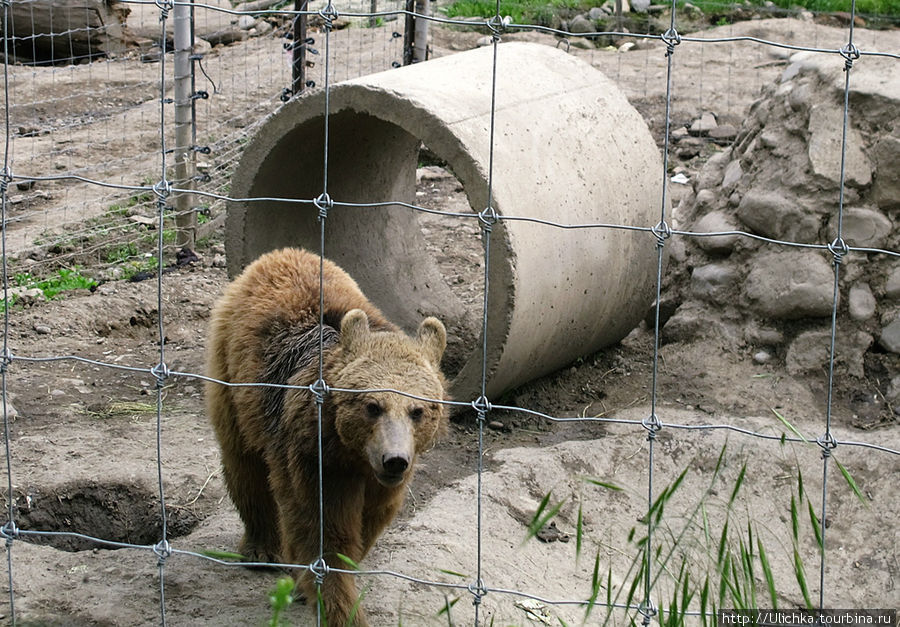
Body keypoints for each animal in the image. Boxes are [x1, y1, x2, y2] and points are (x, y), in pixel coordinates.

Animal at [206, 248, 448, 624]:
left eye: (418, 410)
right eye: (372, 406)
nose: (395, 460)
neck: (352, 452)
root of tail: (279, 254)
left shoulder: (380, 481)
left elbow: (368, 521)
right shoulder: (313, 458)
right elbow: (323, 530)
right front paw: (341, 607)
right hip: (233, 377)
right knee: (243, 462)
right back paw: (261, 549)